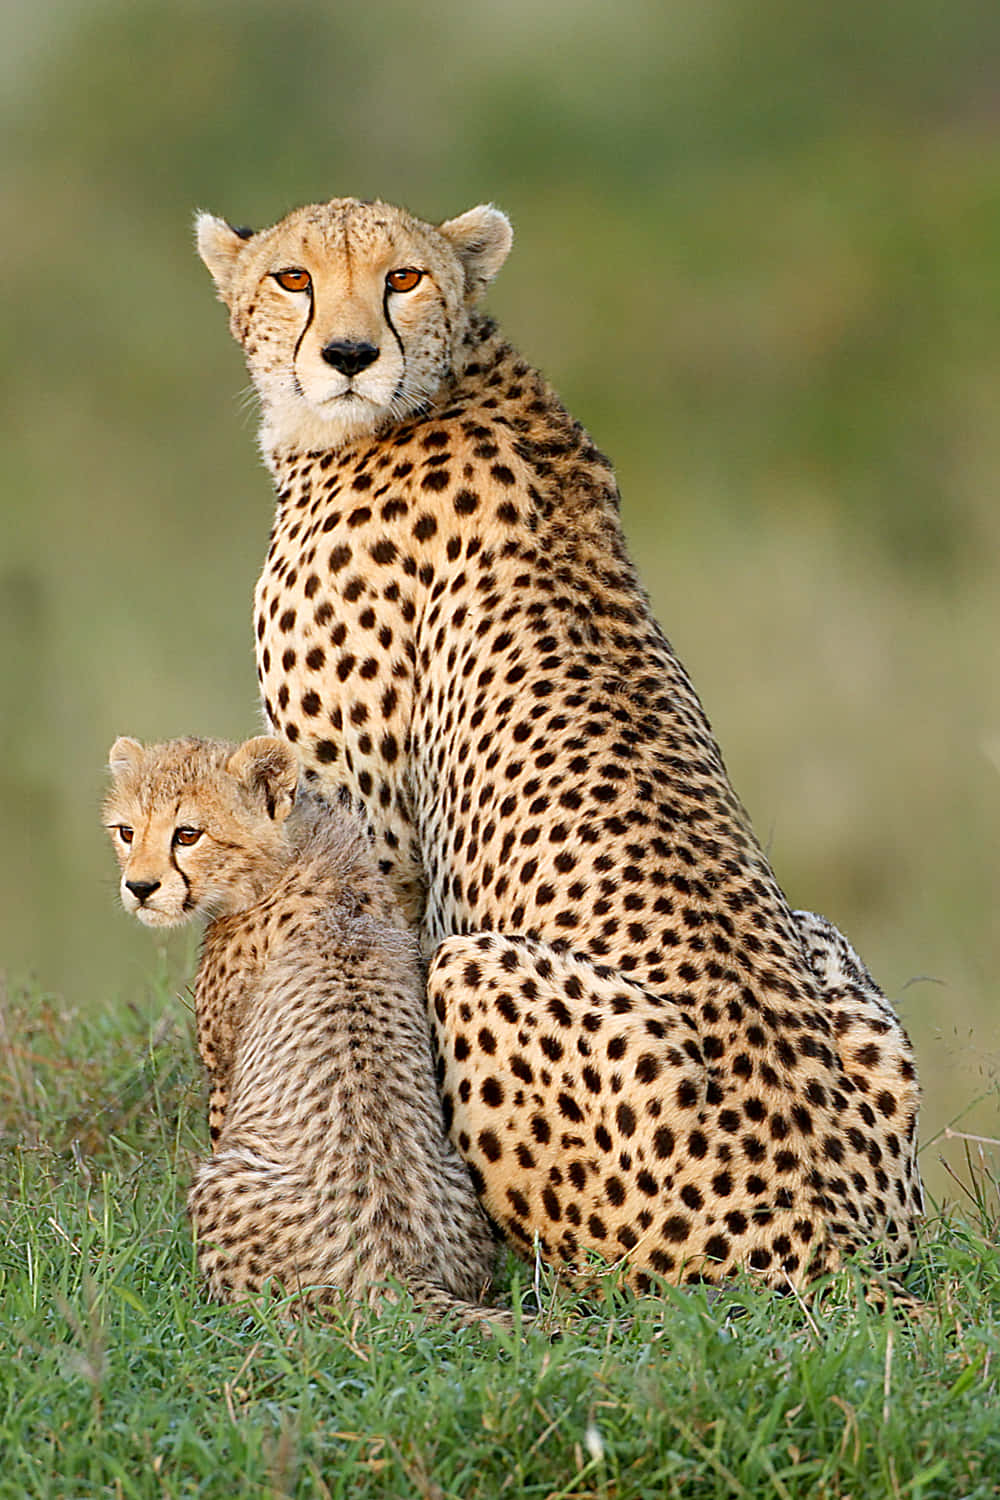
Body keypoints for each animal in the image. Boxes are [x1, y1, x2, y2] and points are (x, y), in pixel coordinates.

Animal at [103, 732, 500, 1322]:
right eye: (127, 831)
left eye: (188, 834)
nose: (140, 887)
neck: (294, 852)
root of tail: (401, 1267)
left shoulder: (224, 1076)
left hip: (221, 1180)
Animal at [195, 194, 923, 1293]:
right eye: (293, 278)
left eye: (403, 277)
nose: (351, 354)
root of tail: (845, 1242)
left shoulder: (356, 835)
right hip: (830, 950)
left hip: (476, 979)